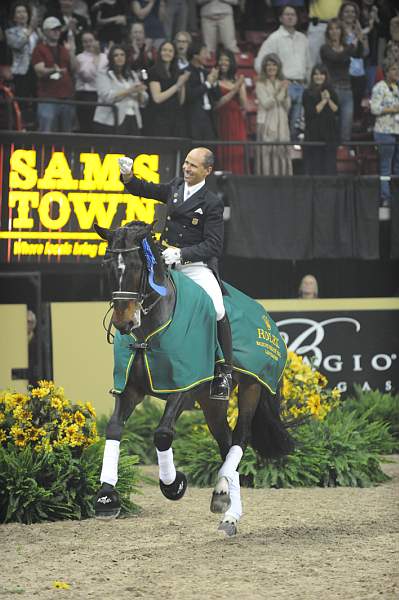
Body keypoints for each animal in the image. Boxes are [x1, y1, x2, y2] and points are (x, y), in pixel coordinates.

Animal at [94, 219, 294, 536]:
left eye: (138, 266)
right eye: (109, 265)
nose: (124, 323)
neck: (151, 330)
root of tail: (266, 317)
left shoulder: (184, 385)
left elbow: (162, 434)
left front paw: (173, 484)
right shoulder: (130, 389)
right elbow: (114, 428)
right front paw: (106, 496)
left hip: (250, 387)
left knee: (241, 438)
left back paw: (225, 501)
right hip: (212, 403)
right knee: (226, 442)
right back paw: (226, 505)